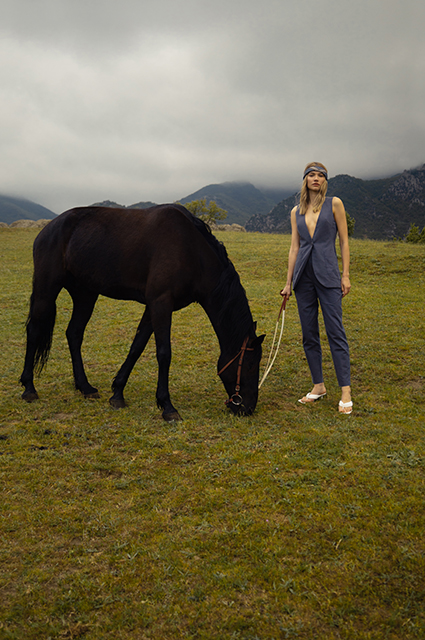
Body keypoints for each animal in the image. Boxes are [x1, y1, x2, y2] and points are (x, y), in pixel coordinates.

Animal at [21, 204, 264, 420]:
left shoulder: (153, 307)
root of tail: (49, 228)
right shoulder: (160, 304)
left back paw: (85, 387)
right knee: (34, 331)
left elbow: (136, 347)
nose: (248, 407)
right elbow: (164, 353)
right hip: (46, 290)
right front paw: (167, 406)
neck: (191, 251)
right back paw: (29, 387)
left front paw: (118, 393)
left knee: (74, 334)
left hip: (85, 295)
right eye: (251, 364)